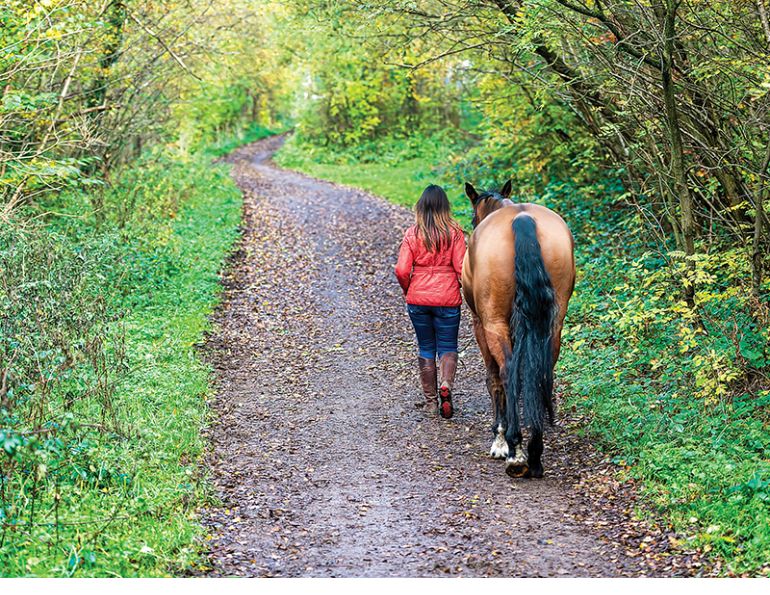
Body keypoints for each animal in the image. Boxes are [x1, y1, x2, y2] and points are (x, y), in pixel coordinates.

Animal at [461, 180, 575, 478]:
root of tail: (522, 219)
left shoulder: (480, 323)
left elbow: (494, 378)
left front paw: (500, 441)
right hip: (553, 324)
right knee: (542, 371)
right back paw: (534, 452)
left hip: (493, 323)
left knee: (507, 370)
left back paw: (515, 450)